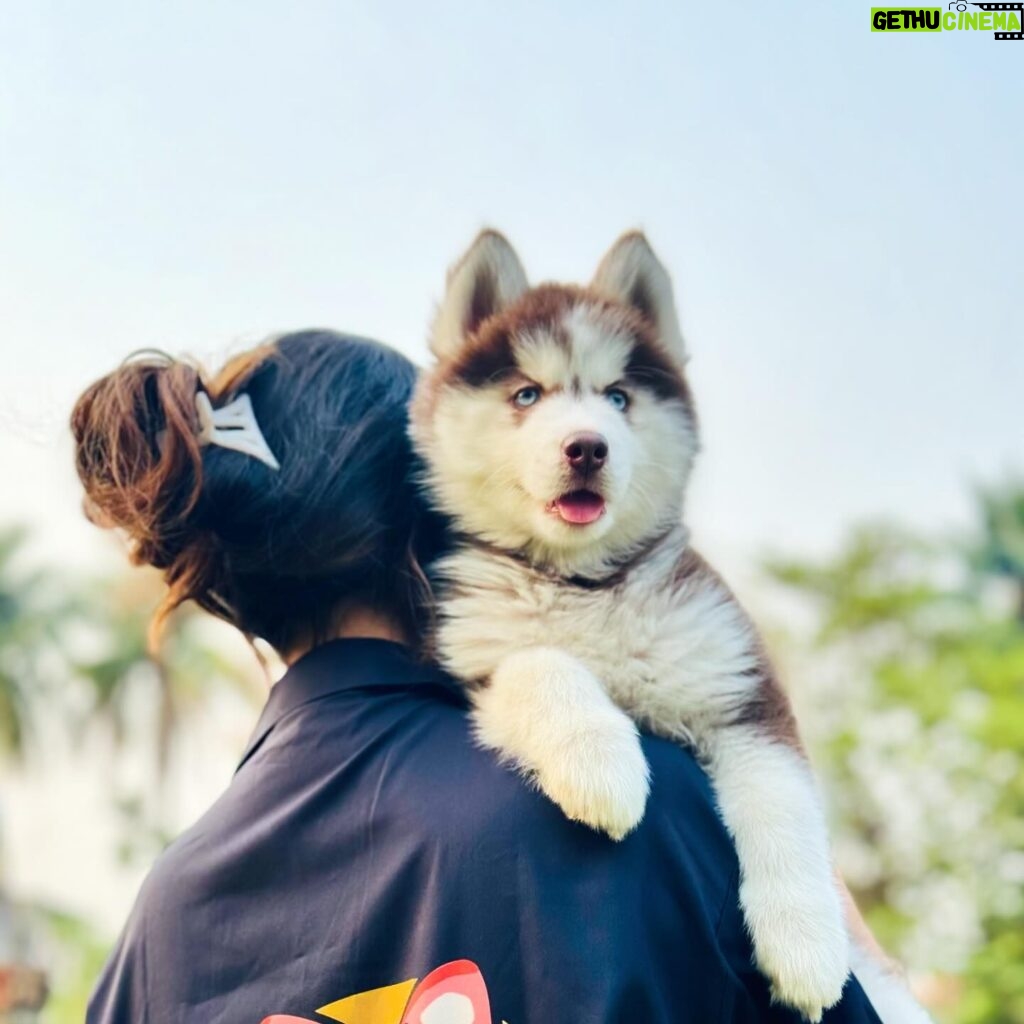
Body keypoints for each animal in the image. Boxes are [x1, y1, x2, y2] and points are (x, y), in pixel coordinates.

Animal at [407, 228, 880, 1019]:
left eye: (618, 397)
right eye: (526, 394)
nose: (586, 446)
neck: (586, 583)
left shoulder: (740, 687)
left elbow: (783, 803)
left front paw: (806, 945)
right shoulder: (475, 657)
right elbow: (542, 662)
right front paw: (601, 762)